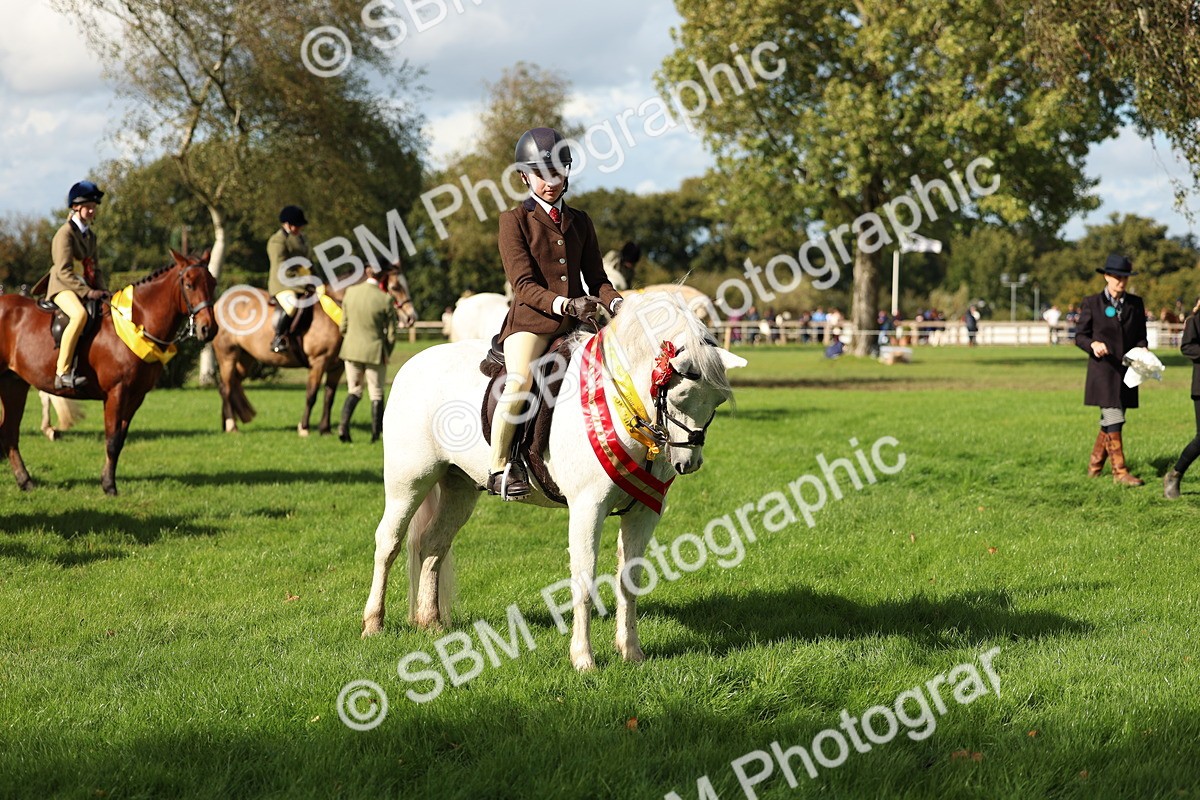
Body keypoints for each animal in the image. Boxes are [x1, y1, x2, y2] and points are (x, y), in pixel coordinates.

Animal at [0, 250, 218, 495]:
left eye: (213, 283)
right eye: (189, 284)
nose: (208, 328)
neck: (135, 323)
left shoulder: (136, 396)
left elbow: (120, 439)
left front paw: (107, 480)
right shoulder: (116, 392)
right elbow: (112, 440)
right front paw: (109, 486)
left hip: (14, 384)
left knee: (9, 433)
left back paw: (25, 481)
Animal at [213, 268, 415, 436]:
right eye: (395, 287)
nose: (411, 317)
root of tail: (218, 303)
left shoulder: (336, 367)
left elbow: (329, 397)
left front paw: (325, 429)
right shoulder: (319, 362)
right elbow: (311, 395)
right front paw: (304, 428)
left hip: (245, 359)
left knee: (231, 384)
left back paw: (226, 423)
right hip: (228, 355)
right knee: (226, 387)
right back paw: (231, 426)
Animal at [361, 291, 747, 670]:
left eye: (716, 401)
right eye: (680, 395)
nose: (688, 462)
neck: (621, 407)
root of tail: (413, 365)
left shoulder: (644, 511)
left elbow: (630, 580)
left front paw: (632, 652)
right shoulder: (587, 508)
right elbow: (585, 579)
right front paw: (583, 659)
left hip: (460, 488)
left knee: (433, 544)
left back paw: (431, 622)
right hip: (409, 483)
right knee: (389, 543)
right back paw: (374, 624)